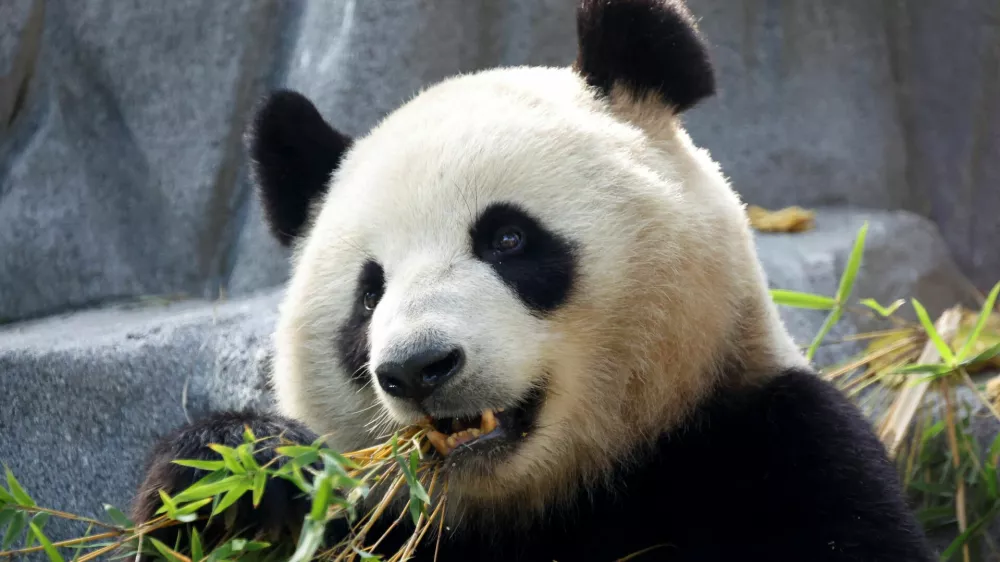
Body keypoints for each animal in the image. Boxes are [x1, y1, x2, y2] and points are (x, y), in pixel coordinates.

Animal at [130, 1, 935, 560]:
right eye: (370, 292)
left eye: (508, 238)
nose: (418, 367)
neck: (546, 496)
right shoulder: (382, 520)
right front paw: (241, 470)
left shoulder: (771, 447)